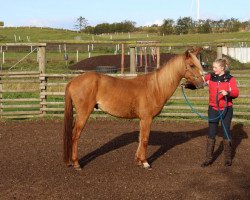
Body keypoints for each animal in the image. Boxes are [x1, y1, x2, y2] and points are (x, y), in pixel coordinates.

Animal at [63, 47, 205, 170]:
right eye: (192, 65)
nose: (202, 83)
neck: (155, 87)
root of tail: (73, 81)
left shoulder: (142, 119)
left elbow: (140, 138)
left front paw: (138, 160)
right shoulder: (147, 118)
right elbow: (145, 139)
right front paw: (145, 162)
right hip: (83, 113)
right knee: (75, 135)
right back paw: (76, 163)